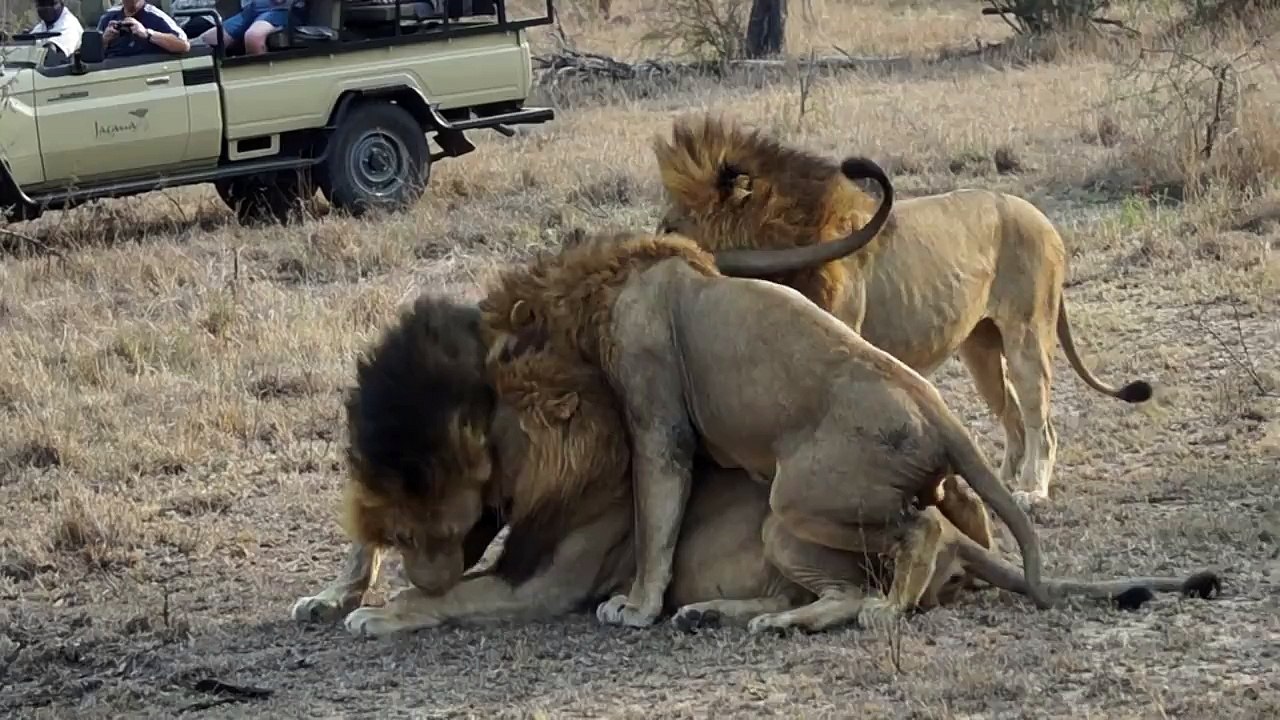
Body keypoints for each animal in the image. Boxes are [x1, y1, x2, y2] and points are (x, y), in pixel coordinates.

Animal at [478, 230, 1219, 633]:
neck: (617, 277)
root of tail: (939, 411)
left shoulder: (656, 414)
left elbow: (656, 517)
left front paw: (635, 606)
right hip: (814, 512)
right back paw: (750, 619)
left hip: (801, 497)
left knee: (911, 538)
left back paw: (878, 612)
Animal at [650, 113, 1155, 510]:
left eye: (672, 223)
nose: (653, 236)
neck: (785, 248)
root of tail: (1043, 219)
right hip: (980, 350)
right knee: (1011, 414)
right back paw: (1001, 486)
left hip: (1028, 335)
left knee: (1040, 422)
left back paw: (1032, 492)